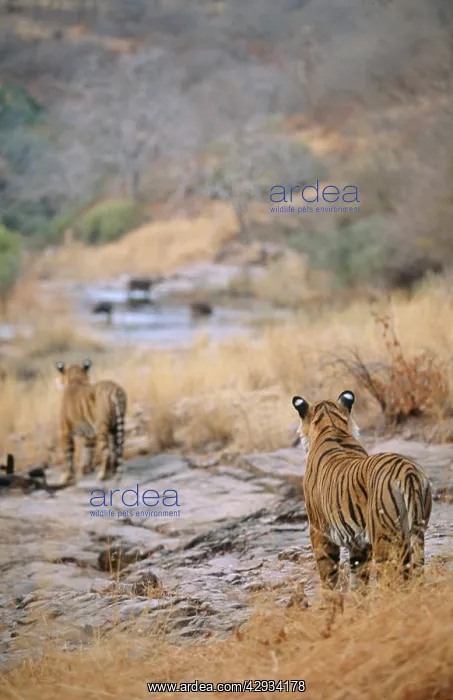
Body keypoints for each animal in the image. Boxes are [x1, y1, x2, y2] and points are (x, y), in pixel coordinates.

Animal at [292, 390, 432, 590]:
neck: (331, 425)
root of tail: (407, 470)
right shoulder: (359, 545)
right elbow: (358, 580)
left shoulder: (318, 531)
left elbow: (329, 578)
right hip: (416, 532)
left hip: (385, 539)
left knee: (390, 582)